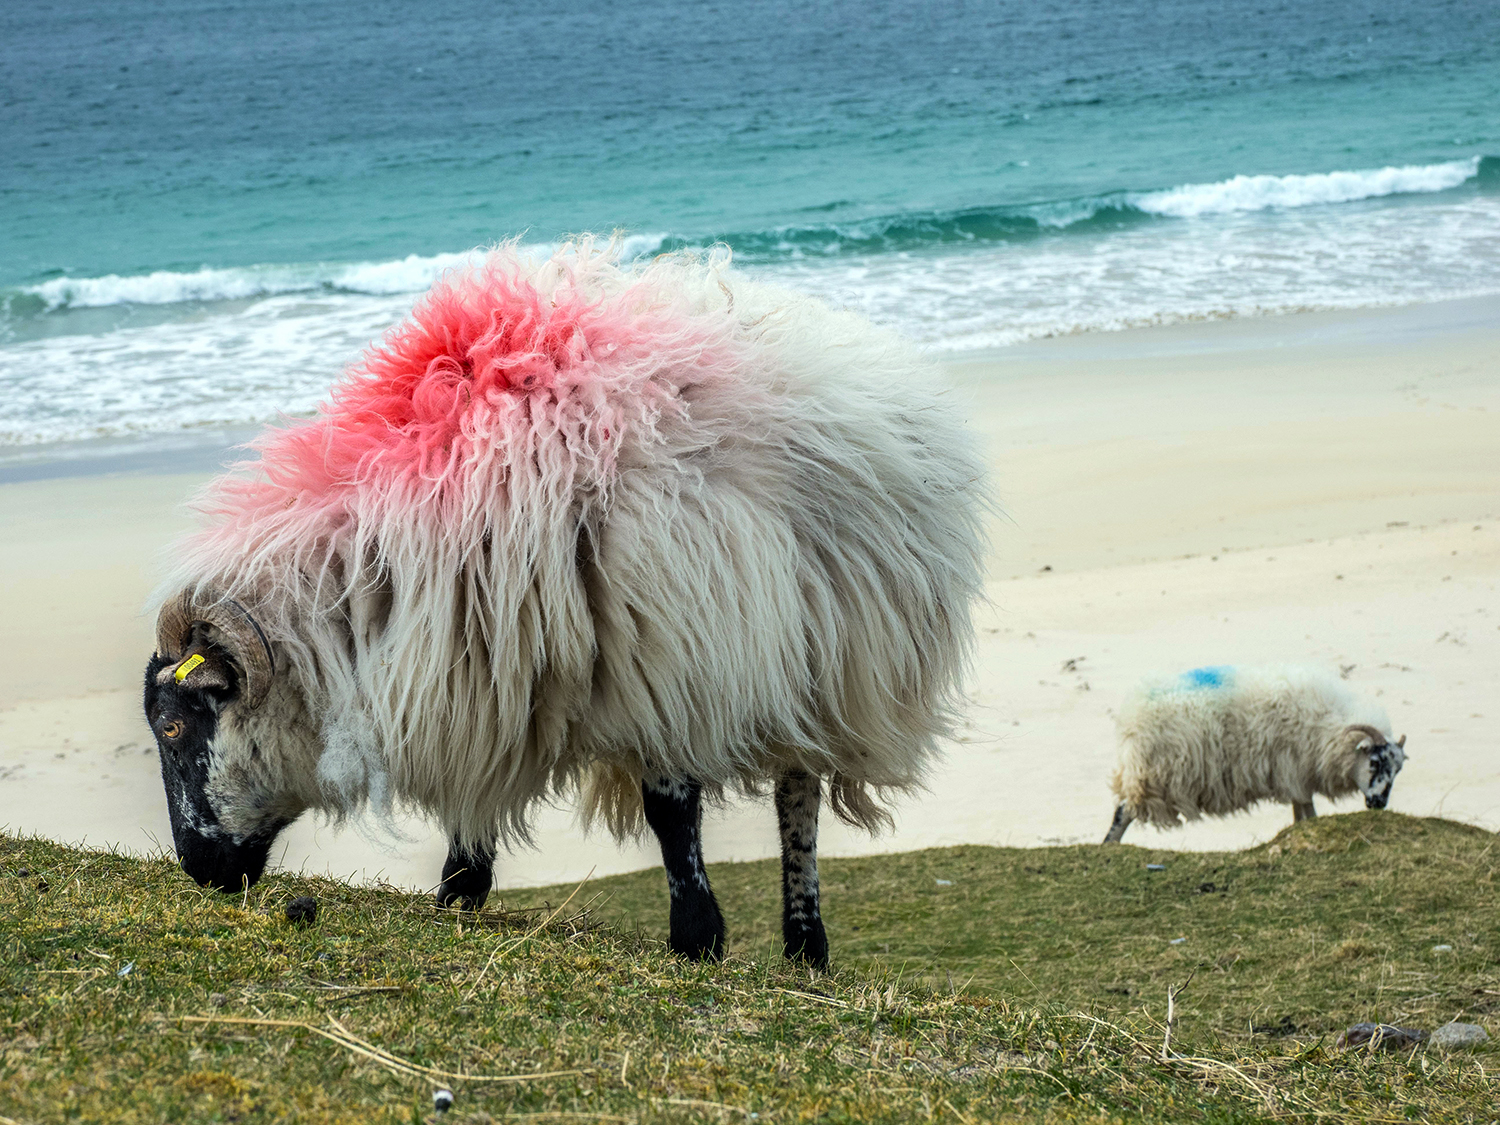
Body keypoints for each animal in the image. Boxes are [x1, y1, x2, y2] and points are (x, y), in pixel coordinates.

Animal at [138, 238, 984, 972]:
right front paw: (459, 890)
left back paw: (806, 944)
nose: (200, 871)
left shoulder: (661, 657)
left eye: (175, 726)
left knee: (797, 799)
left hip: (833, 655)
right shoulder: (477, 652)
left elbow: (672, 808)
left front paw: (696, 936)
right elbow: (473, 775)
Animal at [1104, 666, 1404, 840]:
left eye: (1397, 770)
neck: (1328, 725)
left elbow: (1301, 813)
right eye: (1374, 761)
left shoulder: (1295, 776)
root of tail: (1131, 718)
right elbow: (1308, 811)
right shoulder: (1294, 770)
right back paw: (1110, 846)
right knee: (1122, 812)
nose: (1379, 803)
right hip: (1153, 775)